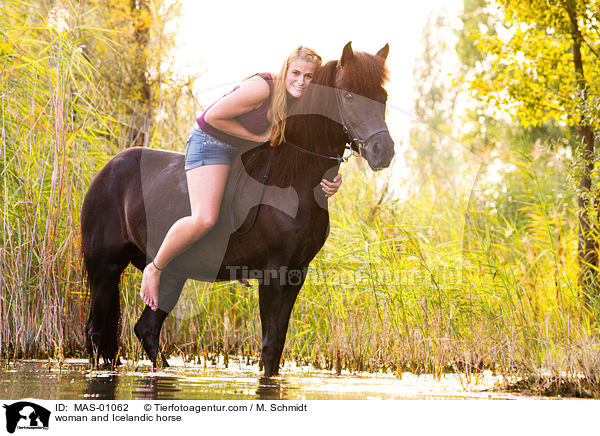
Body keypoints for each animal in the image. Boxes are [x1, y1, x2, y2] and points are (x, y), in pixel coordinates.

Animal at [82, 42, 396, 376]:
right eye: (348, 95)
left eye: (384, 97)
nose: (383, 151)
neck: (293, 179)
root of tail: (107, 170)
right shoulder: (274, 273)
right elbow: (270, 346)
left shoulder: (296, 273)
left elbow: (276, 345)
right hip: (105, 270)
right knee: (97, 332)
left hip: (171, 274)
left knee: (145, 329)